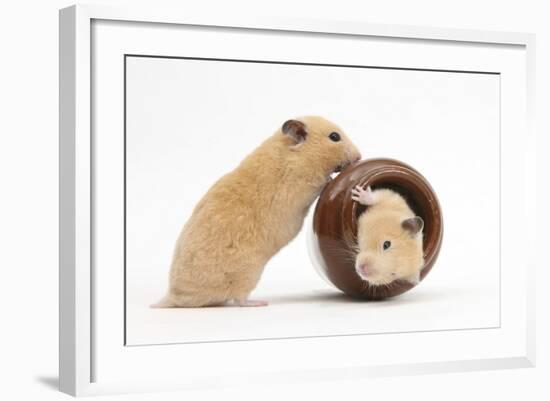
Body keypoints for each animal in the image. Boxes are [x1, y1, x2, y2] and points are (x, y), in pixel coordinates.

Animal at [154, 115, 362, 306]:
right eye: (334, 137)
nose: (359, 156)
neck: (295, 154)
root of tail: (173, 297)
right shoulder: (303, 184)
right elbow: (321, 182)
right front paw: (330, 179)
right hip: (248, 274)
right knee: (239, 299)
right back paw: (259, 302)